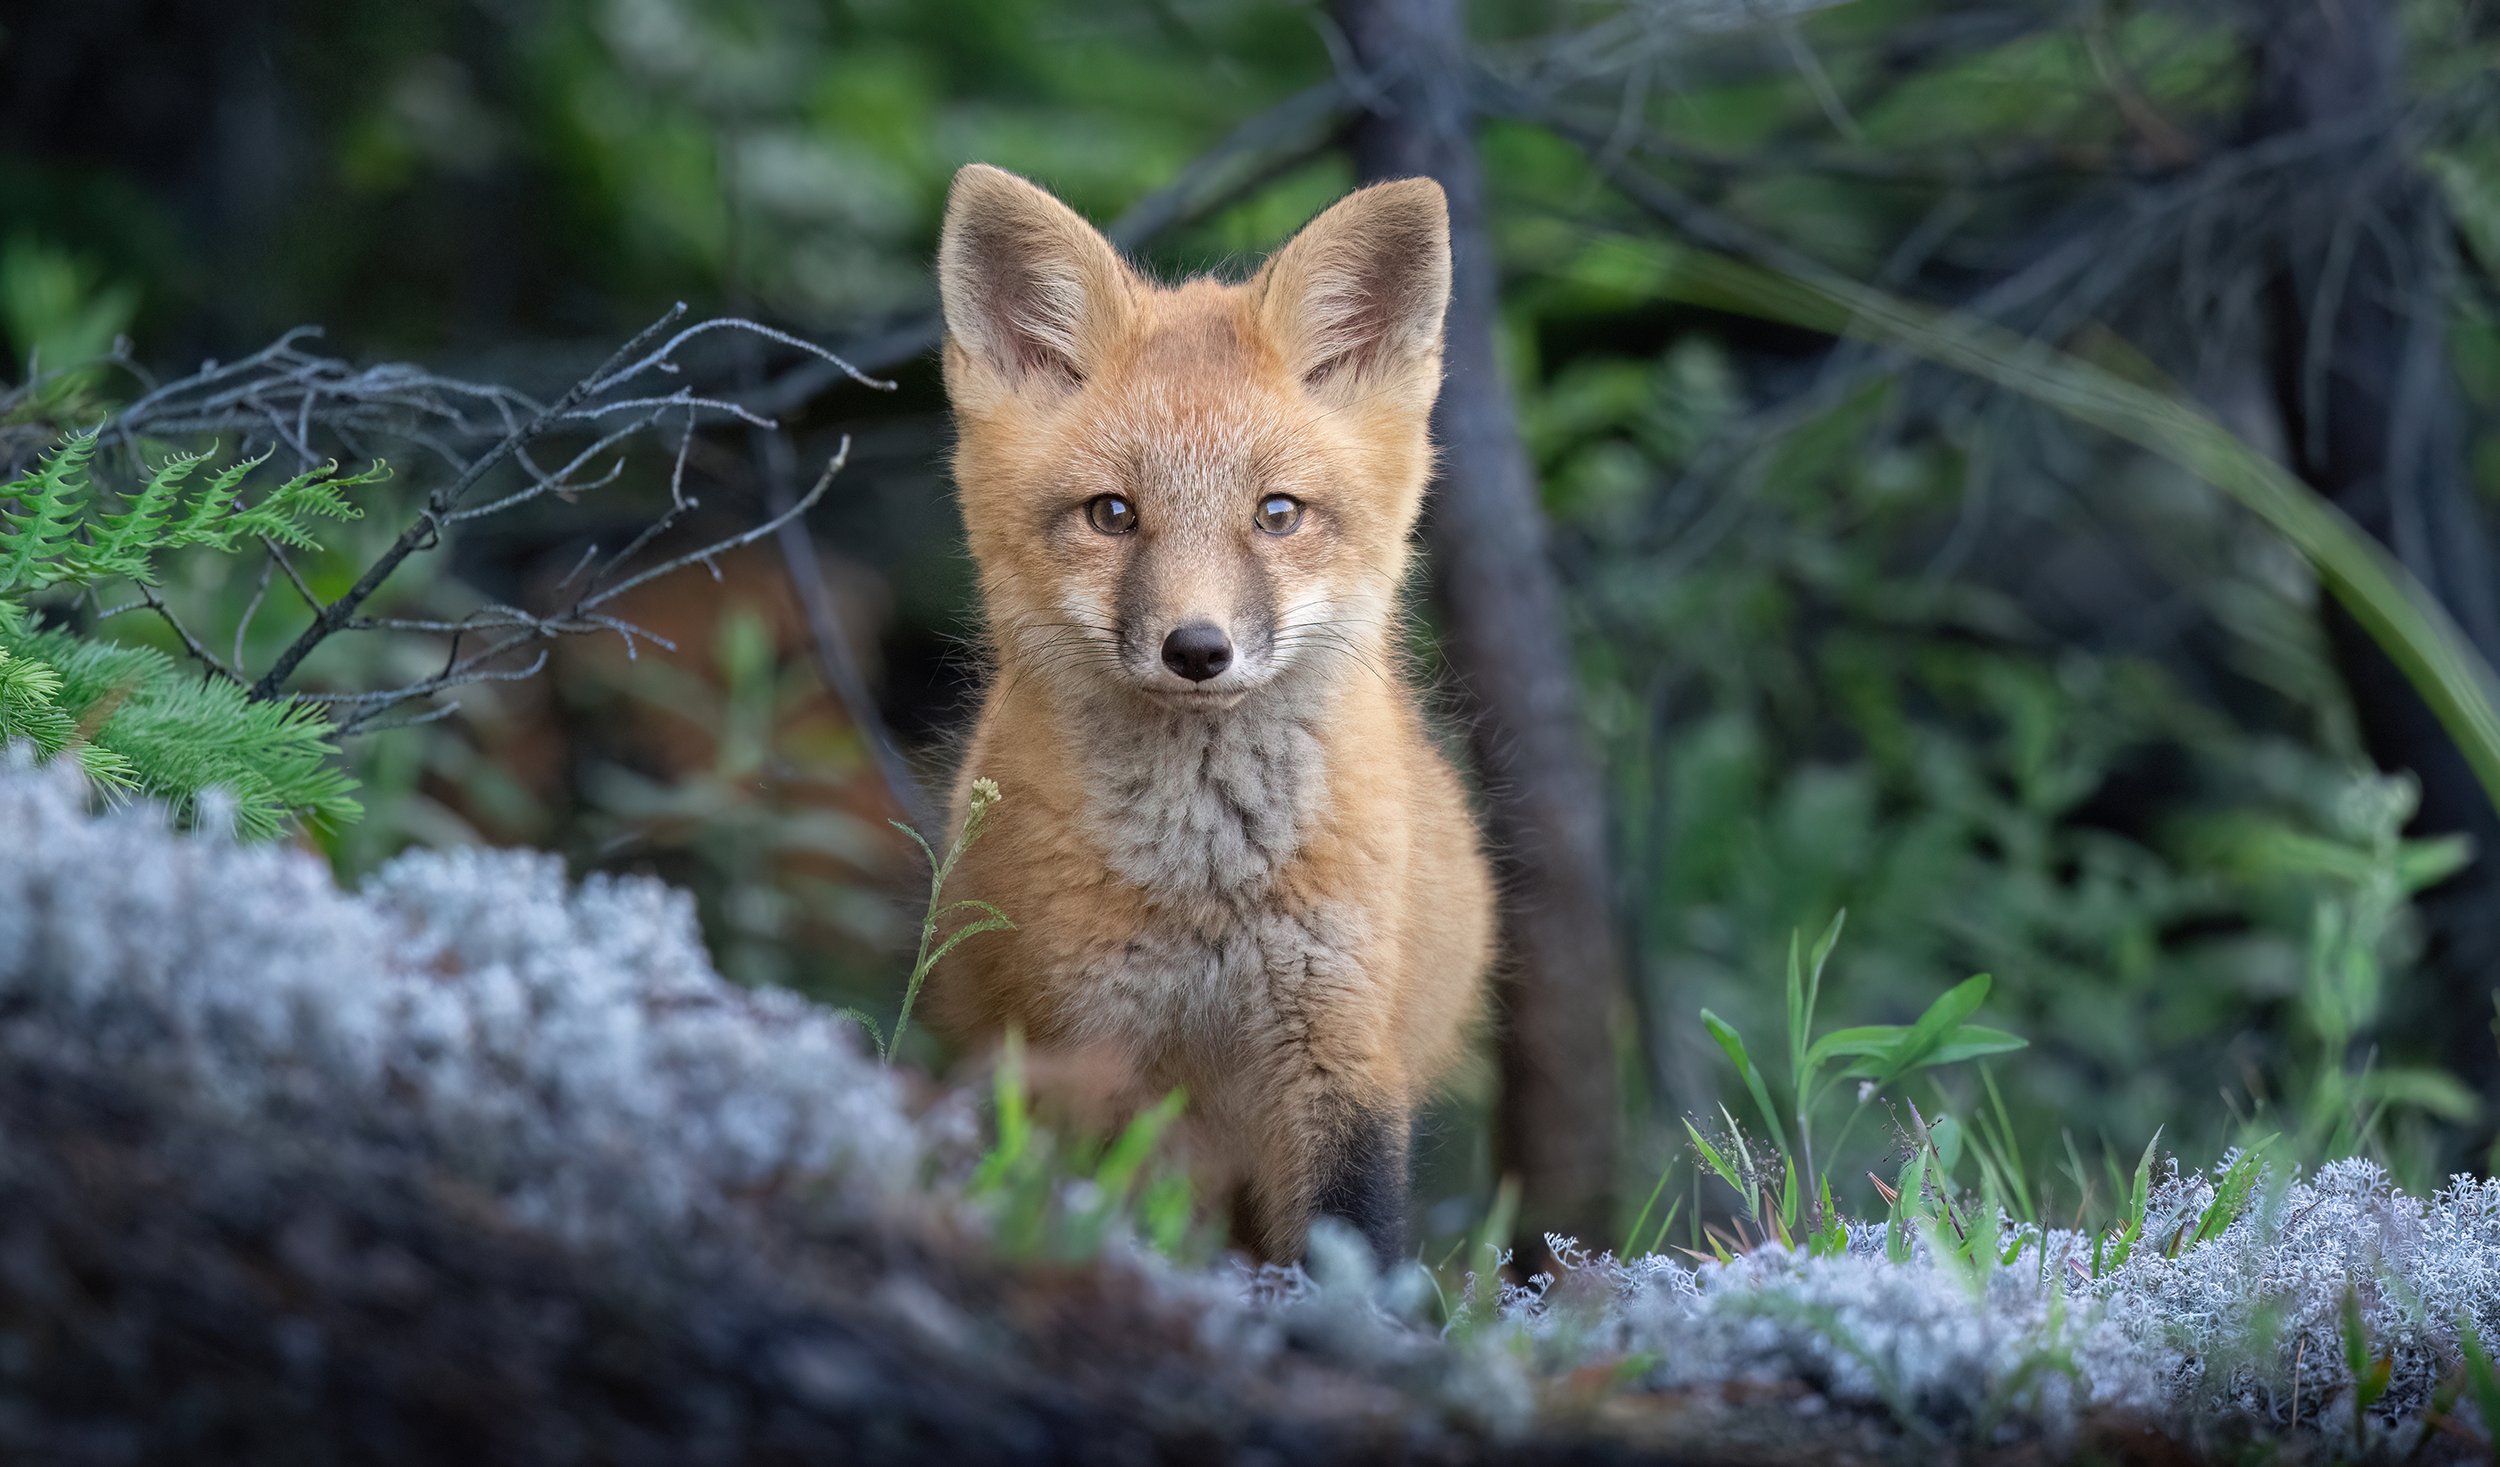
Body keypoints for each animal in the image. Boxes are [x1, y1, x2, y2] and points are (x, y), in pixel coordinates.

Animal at [924, 163, 1496, 1268]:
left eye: (1277, 514)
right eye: (1112, 514)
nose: (1197, 650)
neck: (1207, 886)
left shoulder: (1336, 1048)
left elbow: (1350, 1238)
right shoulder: (1094, 1047)